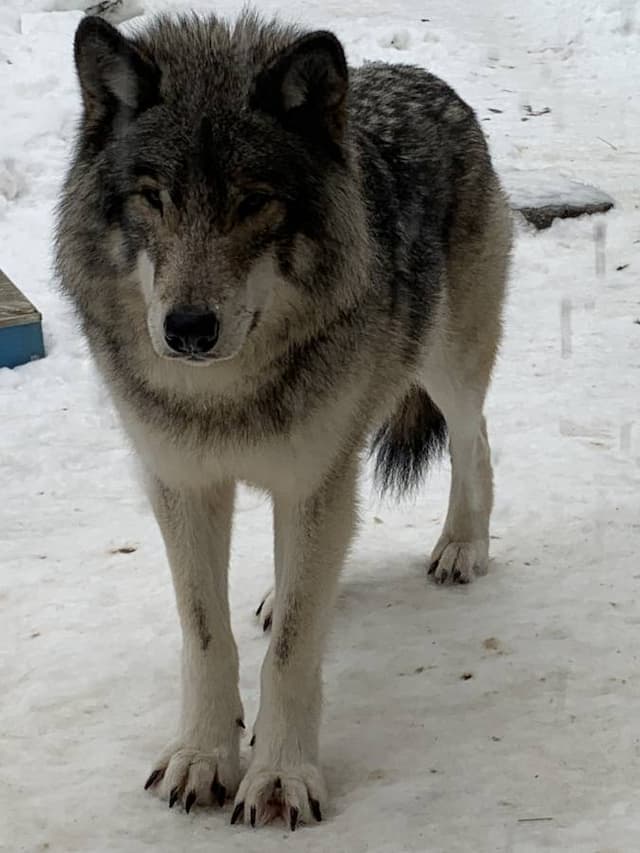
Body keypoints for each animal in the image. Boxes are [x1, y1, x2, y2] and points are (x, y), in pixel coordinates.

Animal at [55, 10, 512, 828]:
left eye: (252, 201)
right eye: (154, 197)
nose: (187, 328)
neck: (222, 396)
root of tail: (419, 76)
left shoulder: (311, 479)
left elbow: (293, 653)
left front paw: (279, 775)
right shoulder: (184, 484)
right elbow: (208, 637)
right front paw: (203, 758)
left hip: (446, 366)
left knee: (476, 442)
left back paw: (462, 546)